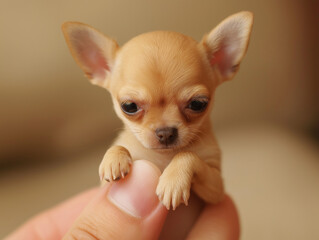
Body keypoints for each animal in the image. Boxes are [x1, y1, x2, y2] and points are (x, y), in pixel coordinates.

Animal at [62, 11, 252, 210]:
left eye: (198, 104)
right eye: (129, 106)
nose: (166, 132)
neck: (164, 156)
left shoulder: (216, 189)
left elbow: (187, 154)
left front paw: (174, 181)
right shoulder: (103, 187)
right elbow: (120, 145)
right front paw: (114, 159)